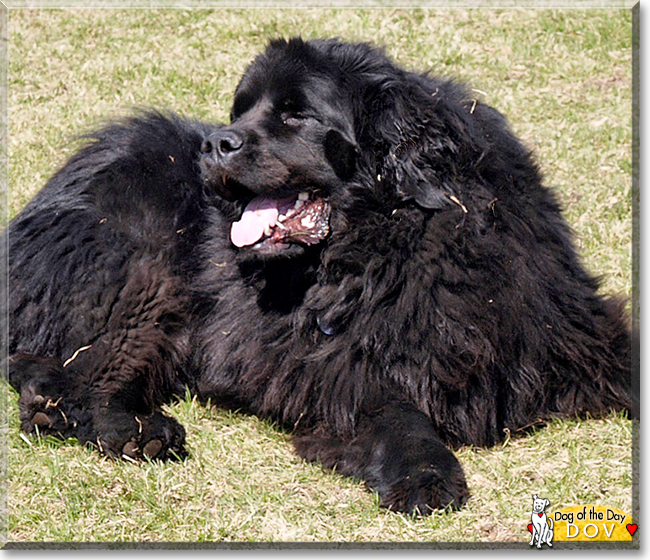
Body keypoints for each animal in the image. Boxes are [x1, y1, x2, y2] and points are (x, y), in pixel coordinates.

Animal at [2, 37, 632, 516]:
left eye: (296, 114)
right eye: (240, 111)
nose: (213, 144)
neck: (395, 242)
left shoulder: (562, 328)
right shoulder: (344, 369)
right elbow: (399, 415)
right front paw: (425, 476)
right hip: (141, 270)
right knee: (90, 364)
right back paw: (127, 427)